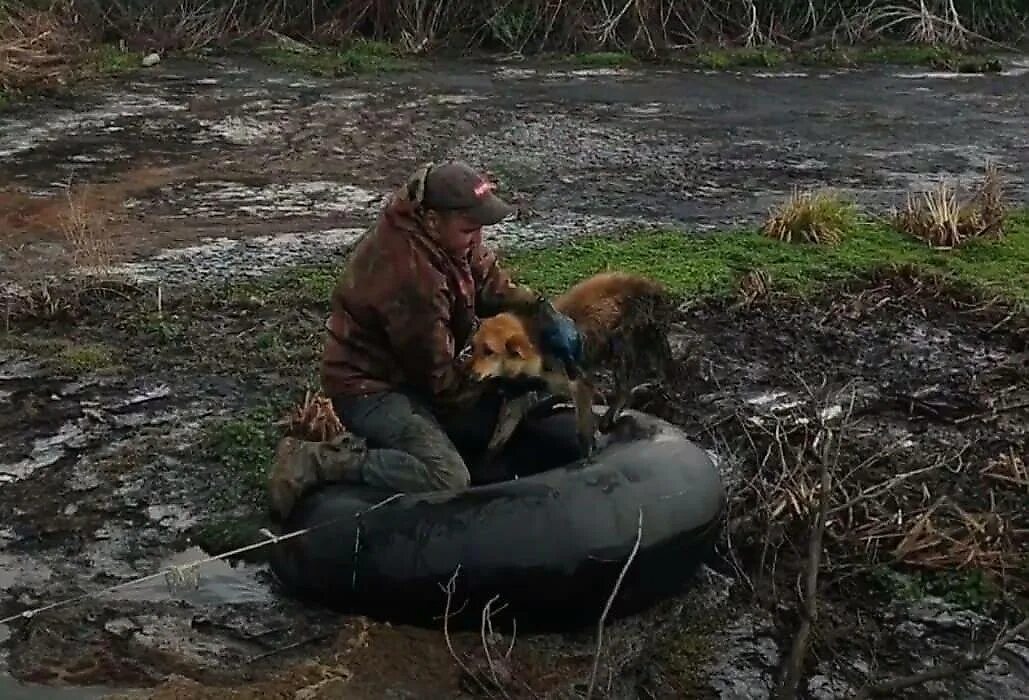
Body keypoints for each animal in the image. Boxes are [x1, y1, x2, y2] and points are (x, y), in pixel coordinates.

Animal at [467, 271, 675, 459]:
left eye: (489, 351)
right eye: (473, 348)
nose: (468, 375)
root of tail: (653, 287)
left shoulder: (579, 383)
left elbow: (583, 428)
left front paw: (587, 456)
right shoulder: (520, 393)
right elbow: (498, 439)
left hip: (621, 346)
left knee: (626, 387)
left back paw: (611, 414)